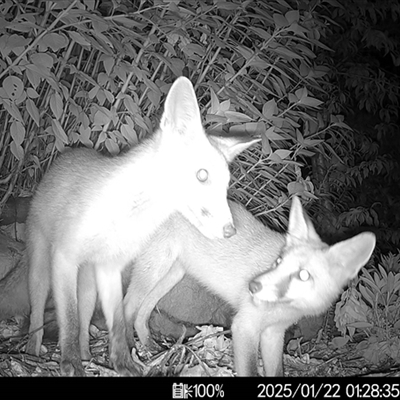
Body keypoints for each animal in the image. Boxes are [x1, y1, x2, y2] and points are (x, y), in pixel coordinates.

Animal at [25, 76, 258, 376]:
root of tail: (67, 155)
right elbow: (69, 319)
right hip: (41, 267)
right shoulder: (65, 257)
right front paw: (70, 364)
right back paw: (32, 351)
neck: (129, 218)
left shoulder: (110, 267)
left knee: (86, 316)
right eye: (202, 175)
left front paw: (123, 363)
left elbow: (117, 320)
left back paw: (88, 355)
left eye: (226, 185)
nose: (230, 231)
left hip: (88, 283)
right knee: (38, 312)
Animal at [121, 198, 376, 376]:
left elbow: (276, 372)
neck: (283, 310)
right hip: (153, 271)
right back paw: (129, 355)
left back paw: (149, 348)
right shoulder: (244, 327)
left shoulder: (274, 333)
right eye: (278, 262)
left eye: (303, 275)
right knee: (126, 307)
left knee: (142, 312)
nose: (252, 286)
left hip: (172, 275)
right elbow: (251, 371)